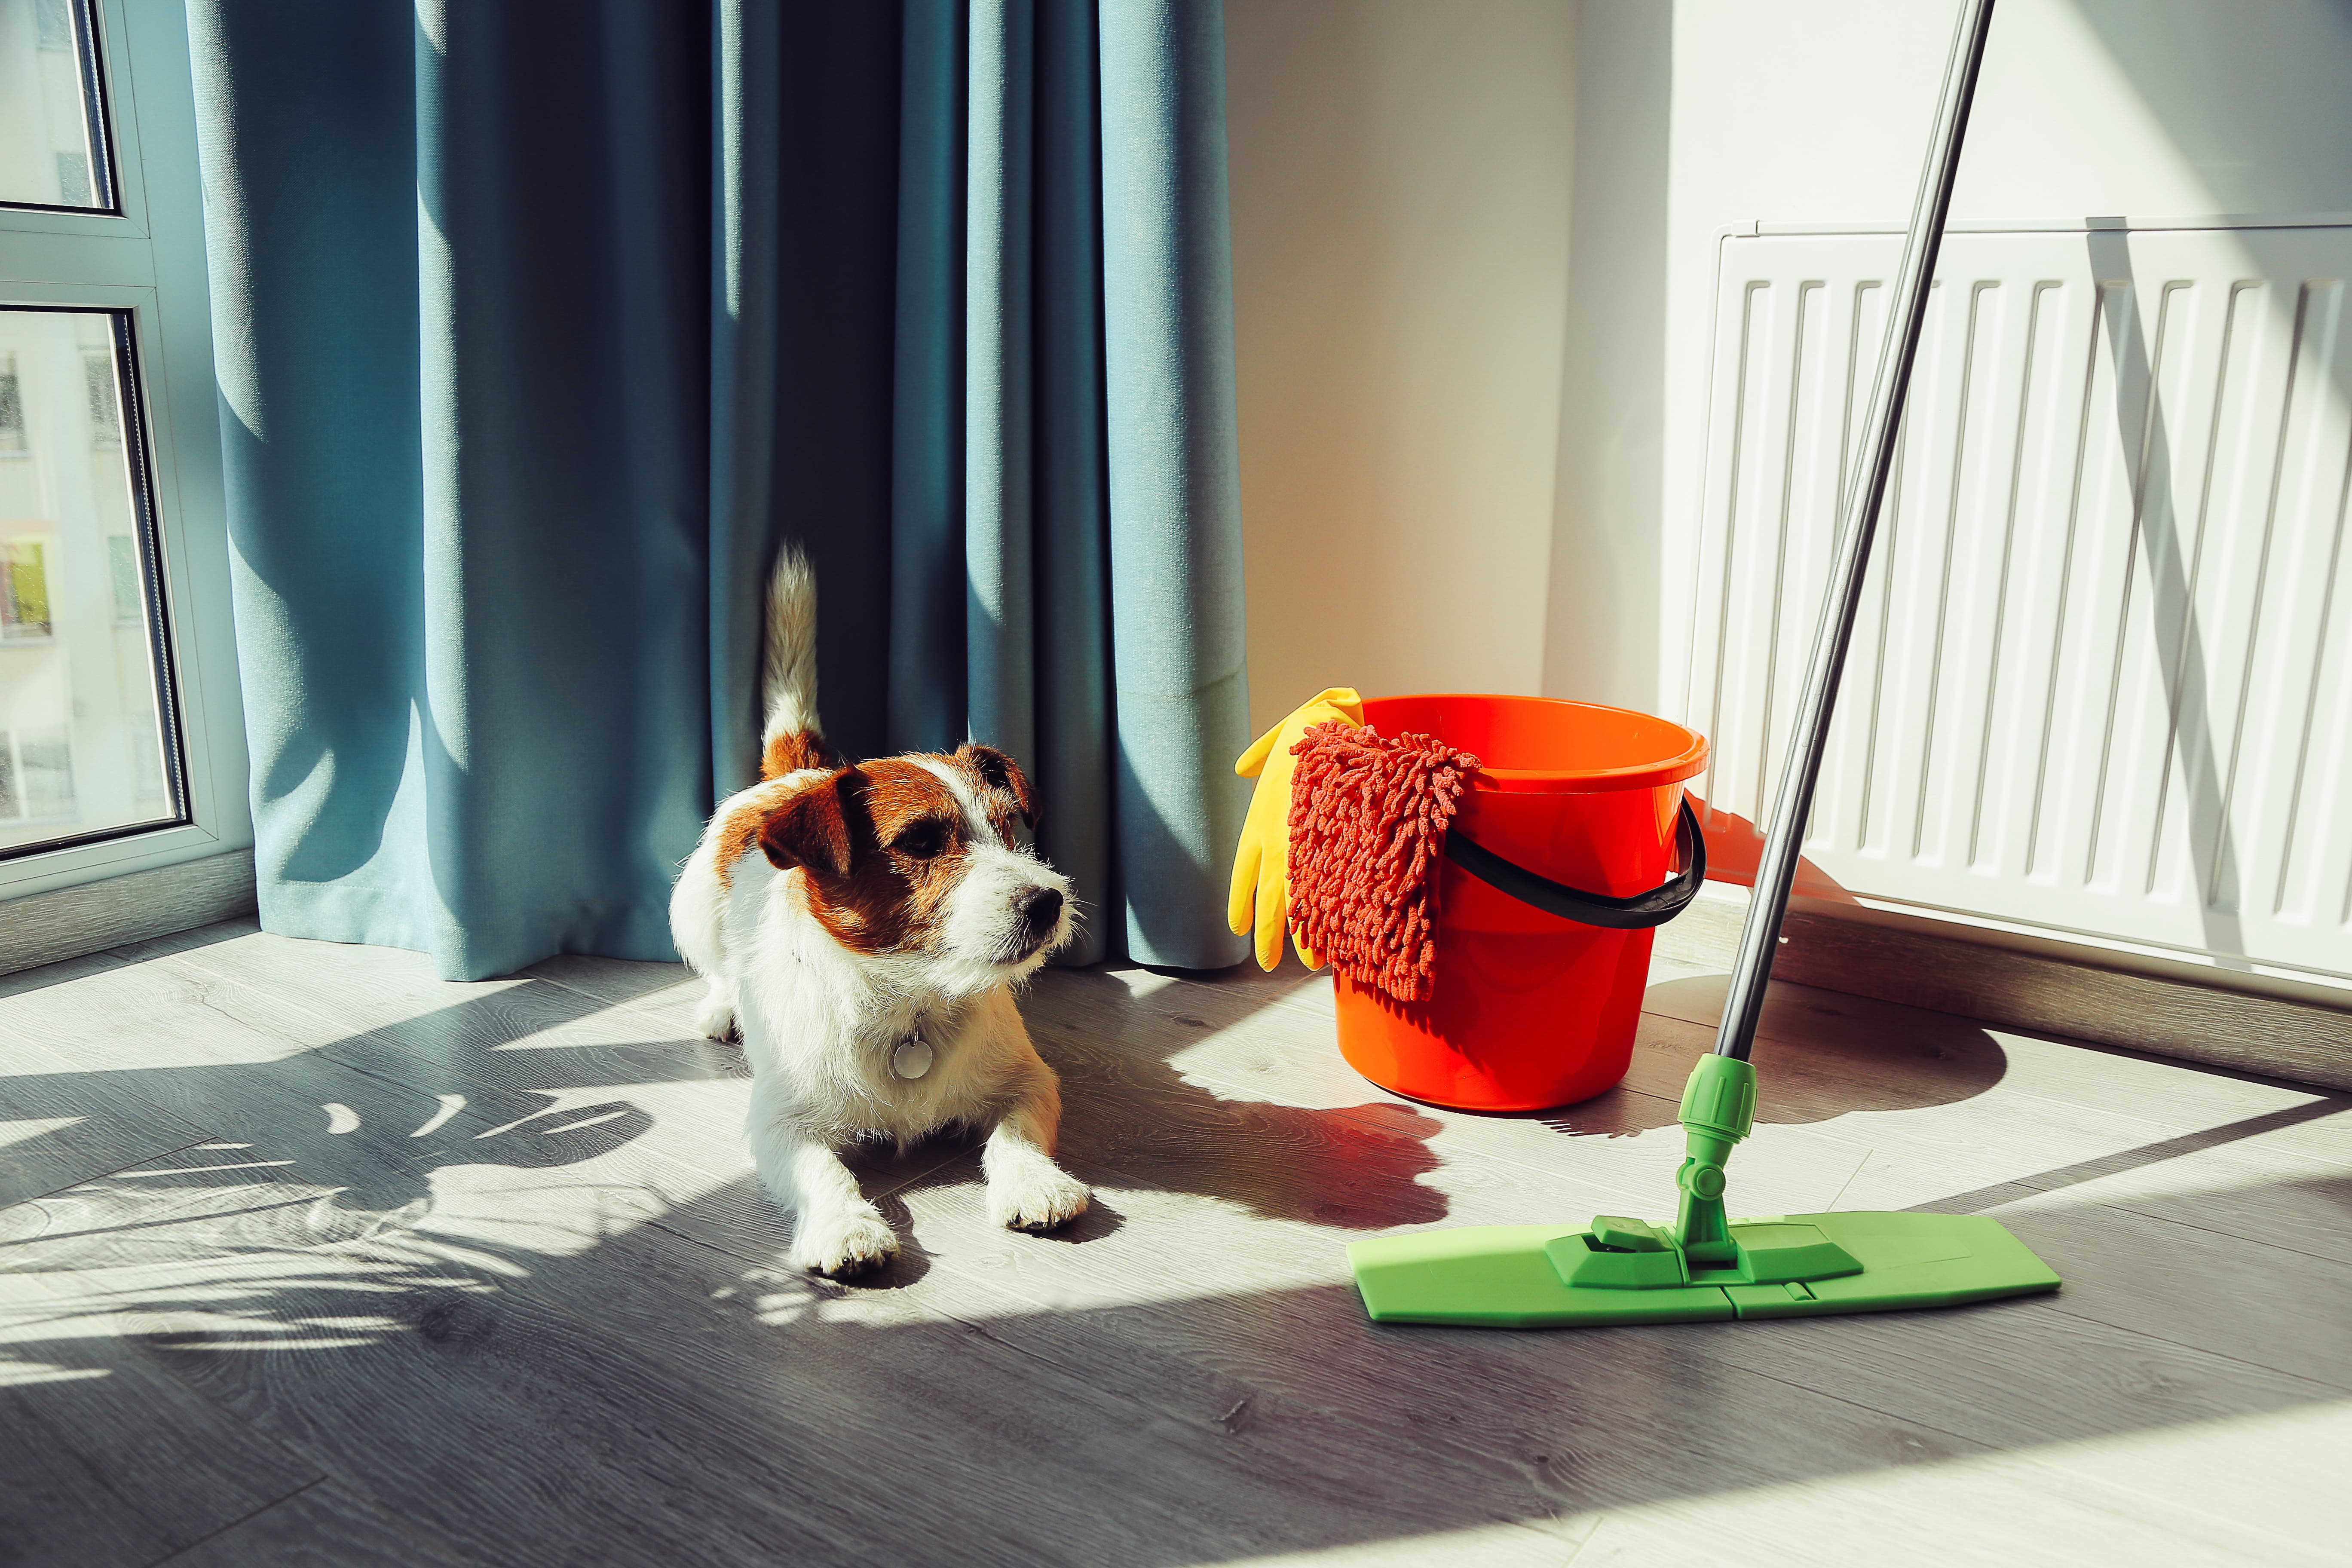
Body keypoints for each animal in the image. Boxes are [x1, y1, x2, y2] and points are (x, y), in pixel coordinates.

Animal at [672, 545, 1091, 1279]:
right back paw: (725, 1007)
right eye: (920, 842)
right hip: (689, 907)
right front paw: (845, 1227)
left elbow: (1014, 1133)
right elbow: (822, 1171)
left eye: (1010, 826)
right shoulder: (780, 1122)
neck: (910, 1003)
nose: (1047, 902)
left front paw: (1034, 1184)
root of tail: (802, 773)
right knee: (718, 968)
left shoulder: (1029, 1080)